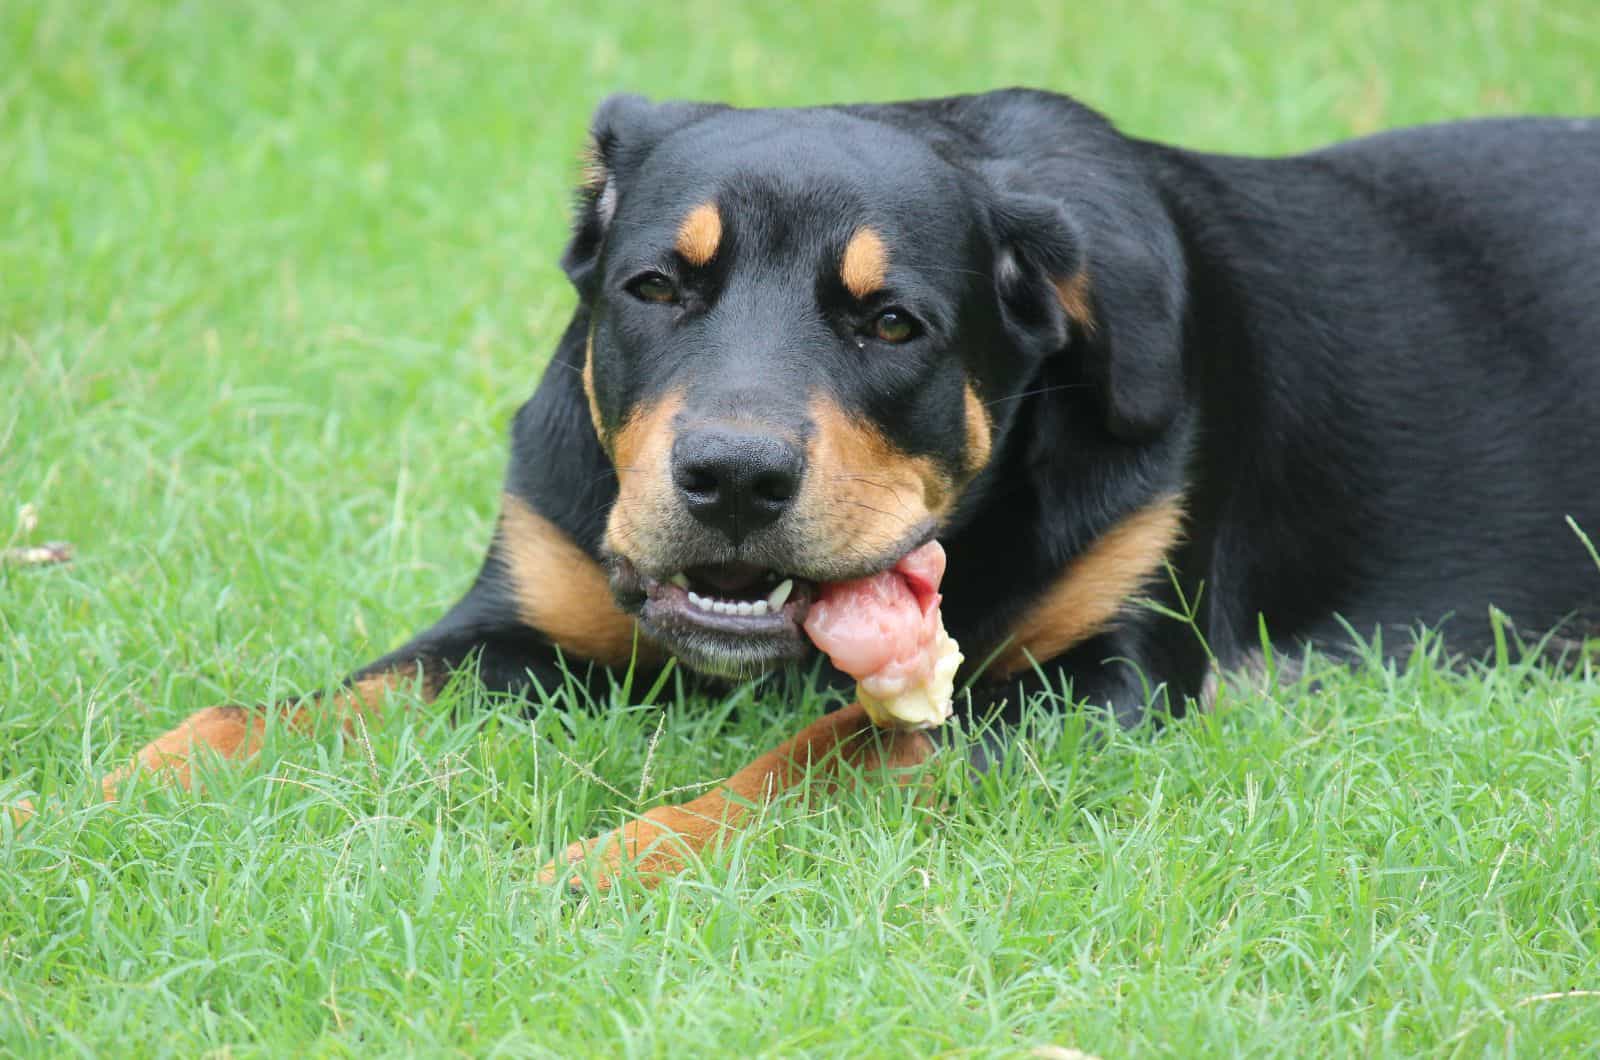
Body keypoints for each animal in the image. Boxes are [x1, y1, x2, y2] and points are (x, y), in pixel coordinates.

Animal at [34, 89, 1600, 890]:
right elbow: (255, 718)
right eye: (655, 288)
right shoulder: (514, 622)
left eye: (892, 323)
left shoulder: (1093, 679)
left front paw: (612, 860)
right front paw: (75, 804)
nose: (731, 476)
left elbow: (819, 751)